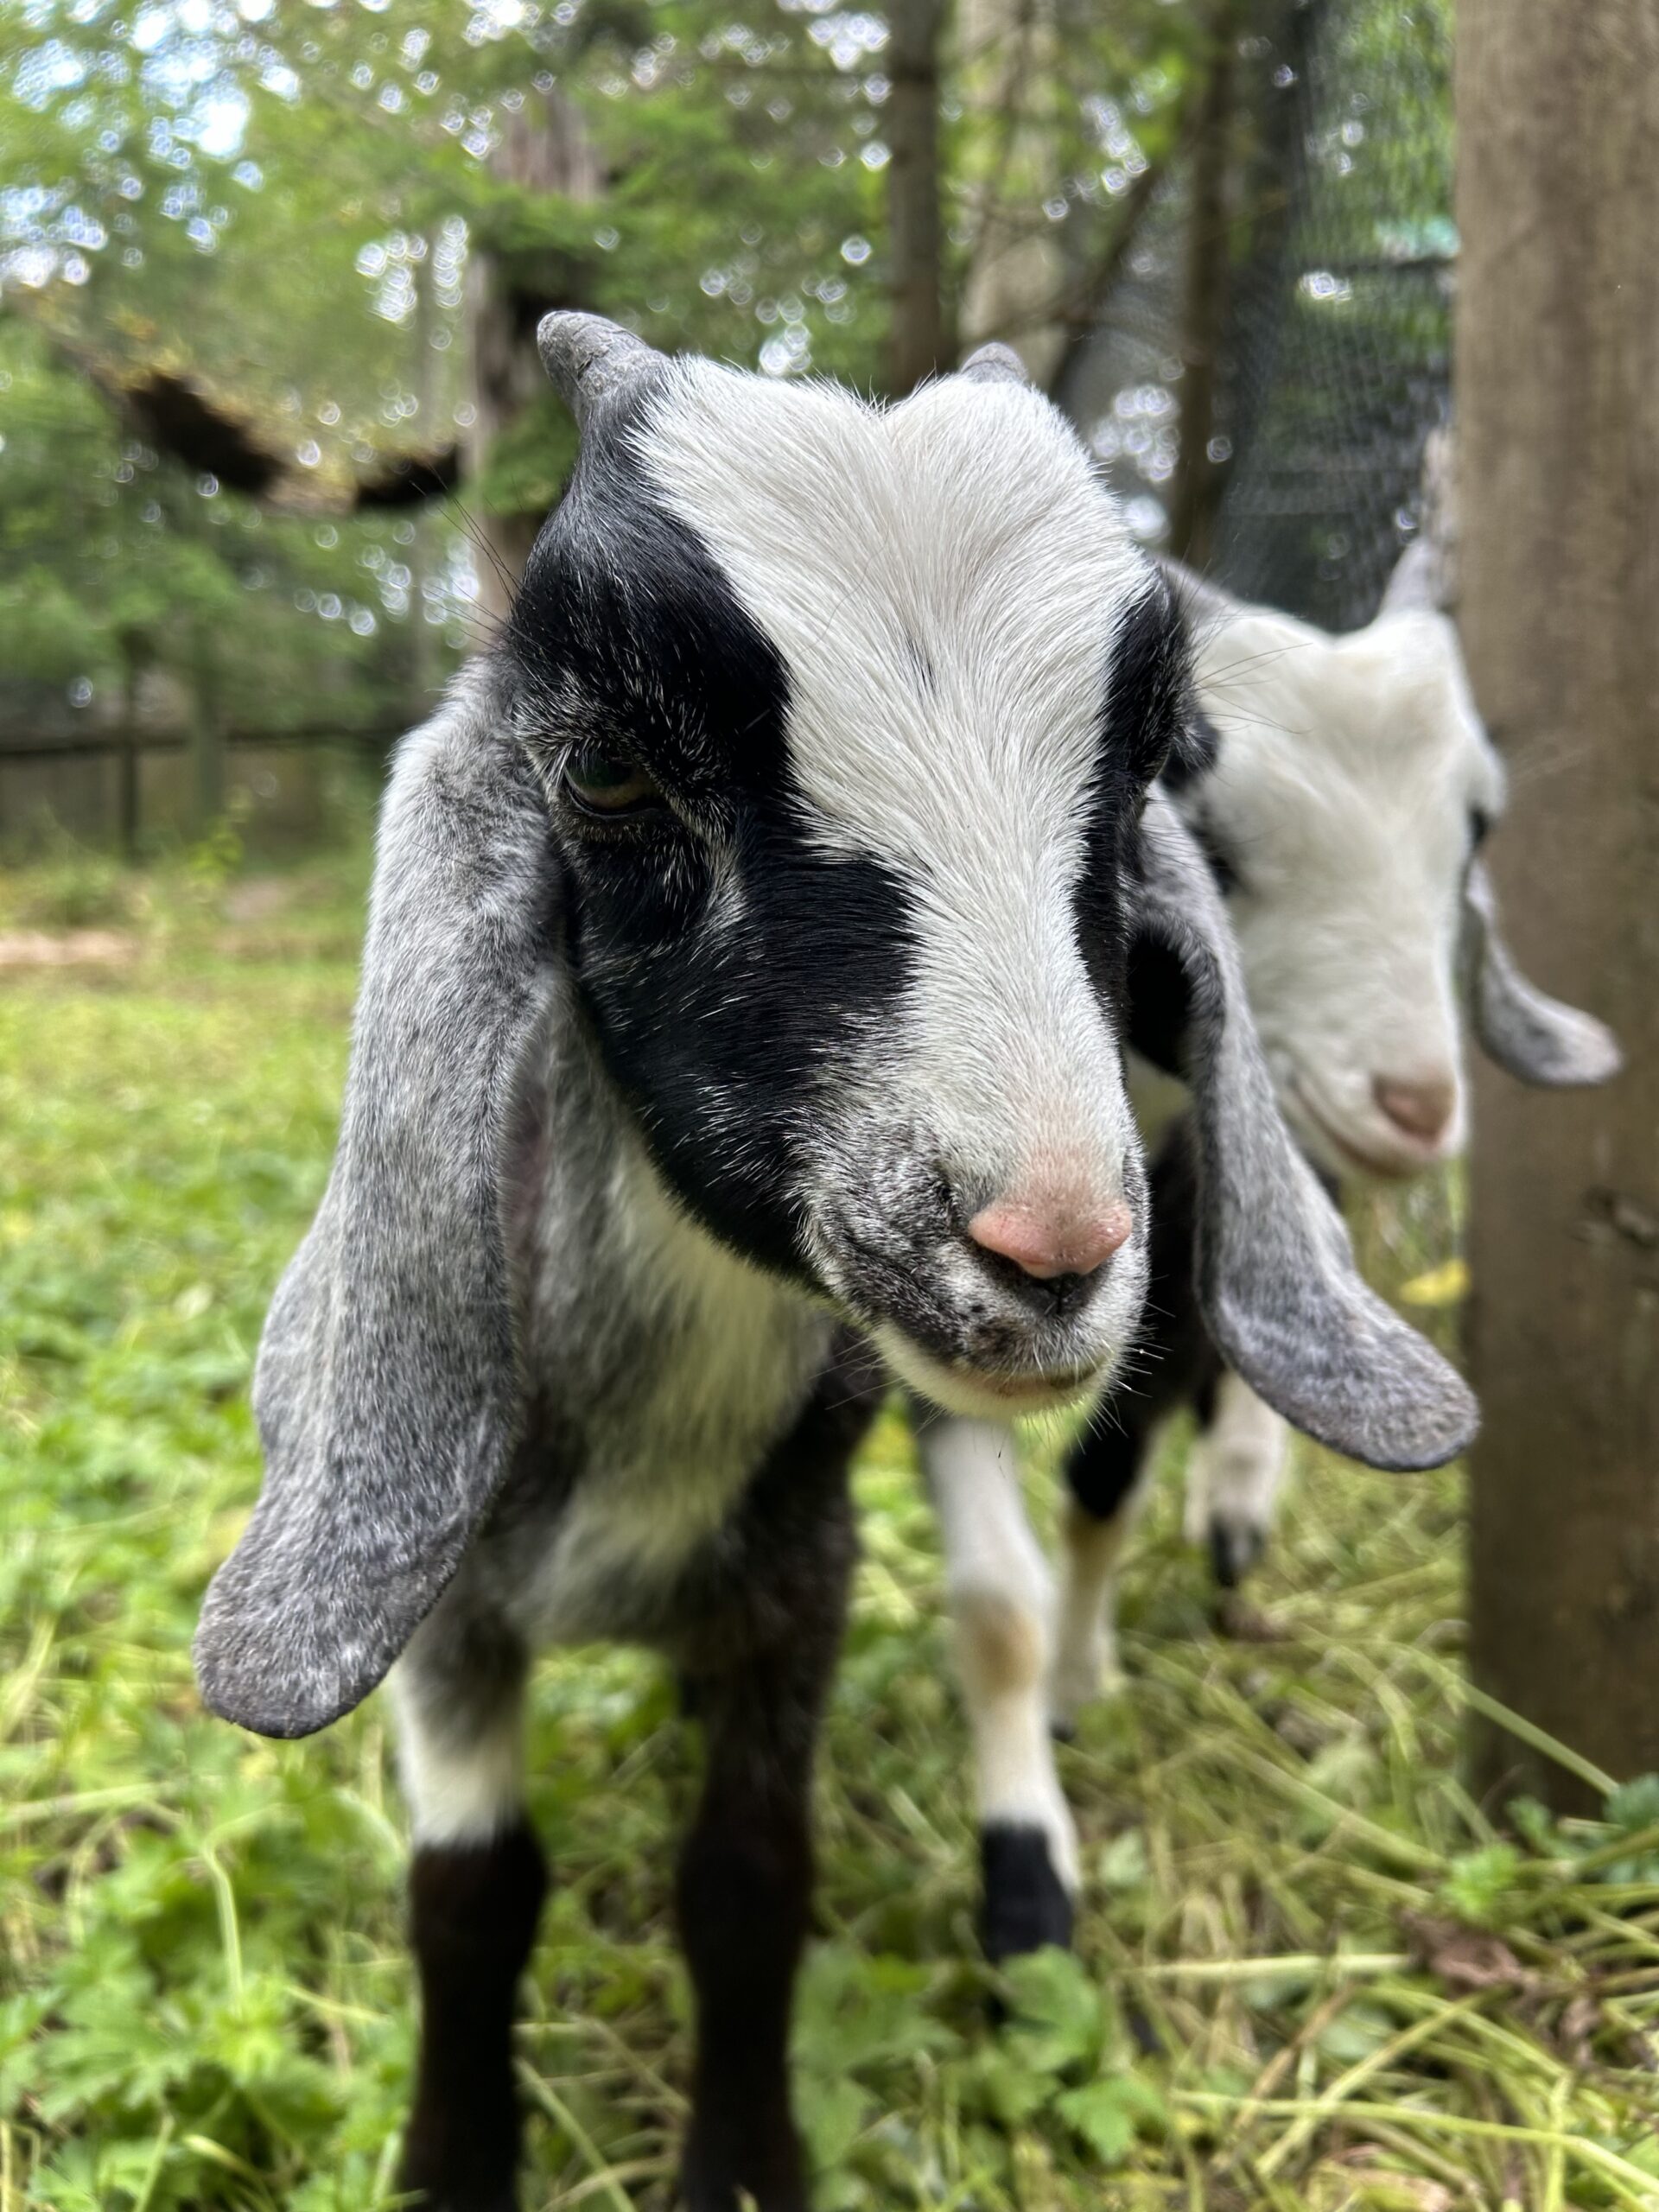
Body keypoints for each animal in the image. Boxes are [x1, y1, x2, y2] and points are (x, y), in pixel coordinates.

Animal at [192, 318, 1472, 2212]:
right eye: (605, 771)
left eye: (1145, 768)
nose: (1054, 1244)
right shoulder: (450, 1616)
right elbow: (470, 1898)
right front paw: (451, 2161)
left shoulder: (800, 1567)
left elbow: (746, 1884)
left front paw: (739, 2163)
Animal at [921, 565, 1619, 1968]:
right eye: (1221, 846)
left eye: (1474, 829)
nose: (1416, 1105)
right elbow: (996, 1602)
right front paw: (1027, 1879)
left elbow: (1107, 1481)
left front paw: (1082, 1679)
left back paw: (1239, 1497)